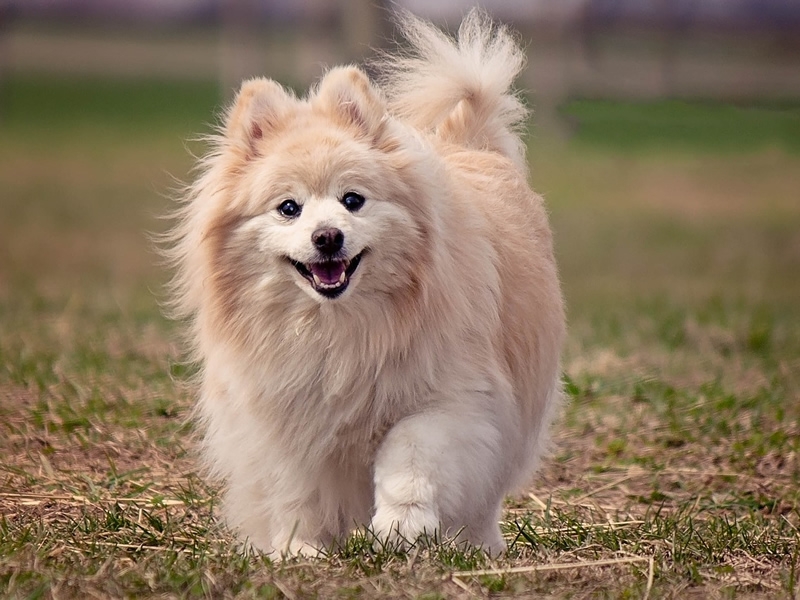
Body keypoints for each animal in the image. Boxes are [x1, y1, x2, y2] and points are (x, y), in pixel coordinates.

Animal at [164, 9, 564, 556]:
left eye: (352, 200)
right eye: (288, 208)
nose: (327, 236)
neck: (336, 329)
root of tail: (470, 143)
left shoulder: (451, 399)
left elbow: (409, 457)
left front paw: (401, 526)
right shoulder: (283, 417)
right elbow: (296, 489)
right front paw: (298, 549)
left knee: (483, 494)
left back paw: (476, 546)